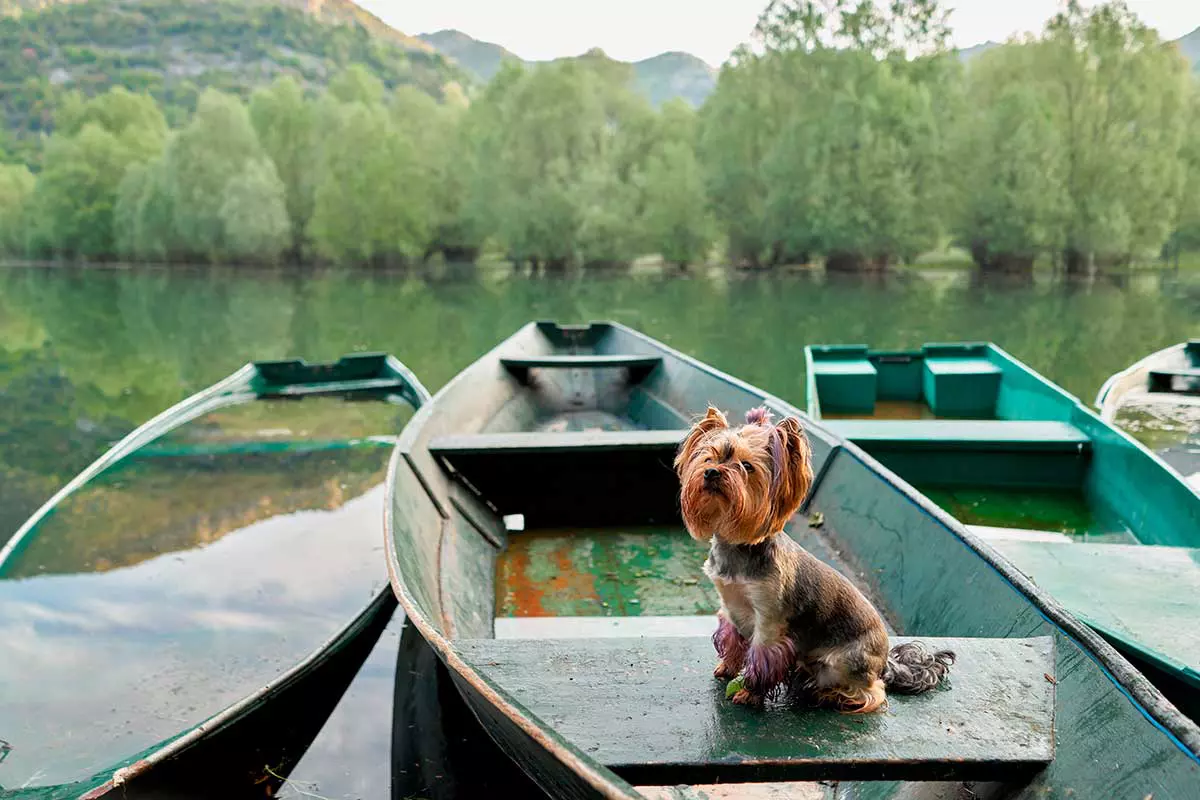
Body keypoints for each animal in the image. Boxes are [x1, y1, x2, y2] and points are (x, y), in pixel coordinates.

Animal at [681, 407, 950, 714]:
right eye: (708, 457)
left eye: (747, 466)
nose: (711, 472)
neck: (738, 543)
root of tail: (885, 664)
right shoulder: (729, 608)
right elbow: (733, 642)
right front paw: (727, 667)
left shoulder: (768, 621)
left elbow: (761, 656)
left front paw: (750, 693)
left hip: (840, 664)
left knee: (874, 692)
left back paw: (831, 694)